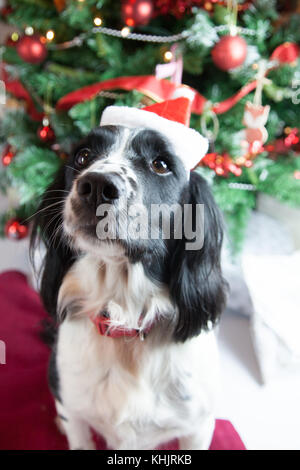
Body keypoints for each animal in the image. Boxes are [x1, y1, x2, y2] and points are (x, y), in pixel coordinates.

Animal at [31, 104, 226, 450]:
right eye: (83, 156)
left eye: (161, 164)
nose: (96, 186)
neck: (126, 321)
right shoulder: (72, 407)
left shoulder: (199, 426)